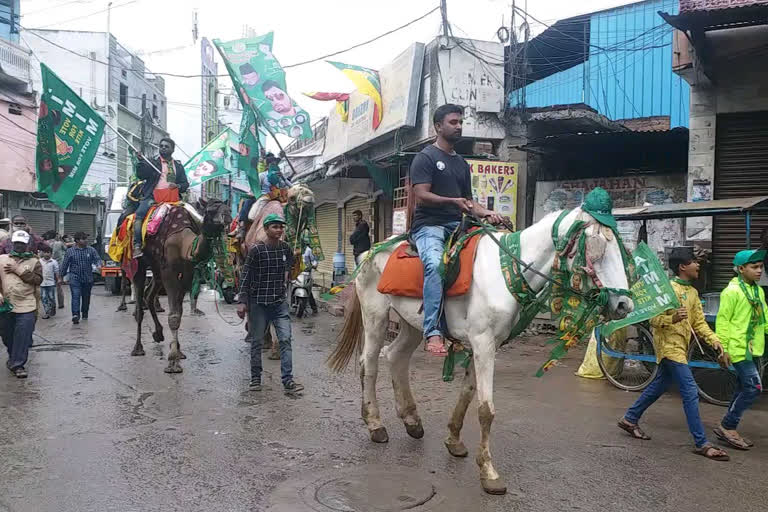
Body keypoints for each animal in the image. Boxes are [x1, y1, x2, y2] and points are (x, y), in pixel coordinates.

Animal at [130, 199, 231, 372]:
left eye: (228, 208)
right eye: (210, 210)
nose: (228, 217)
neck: (183, 245)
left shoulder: (186, 275)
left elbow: (179, 312)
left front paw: (178, 351)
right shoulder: (169, 272)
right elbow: (174, 316)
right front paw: (172, 361)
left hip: (156, 269)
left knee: (149, 295)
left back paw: (158, 334)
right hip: (140, 265)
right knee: (139, 306)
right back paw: (138, 348)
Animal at [328, 207, 632, 492]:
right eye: (597, 247)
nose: (624, 306)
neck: (507, 272)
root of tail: (368, 252)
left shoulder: (487, 344)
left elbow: (467, 392)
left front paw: (453, 440)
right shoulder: (483, 343)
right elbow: (486, 409)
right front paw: (488, 471)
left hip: (412, 323)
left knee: (396, 356)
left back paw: (411, 419)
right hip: (375, 317)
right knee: (369, 364)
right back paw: (375, 424)